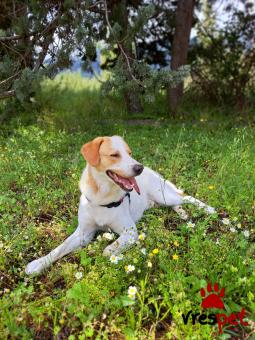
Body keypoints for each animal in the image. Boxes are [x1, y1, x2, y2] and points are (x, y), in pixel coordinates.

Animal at [25, 134, 215, 274]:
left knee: (186, 197)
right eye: (114, 155)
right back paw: (183, 213)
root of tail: (153, 171)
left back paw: (209, 210)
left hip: (163, 195)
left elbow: (107, 251)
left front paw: (116, 258)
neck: (102, 197)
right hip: (157, 202)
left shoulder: (129, 231)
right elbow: (60, 248)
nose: (139, 168)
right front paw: (38, 263)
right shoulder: (83, 233)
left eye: (129, 153)